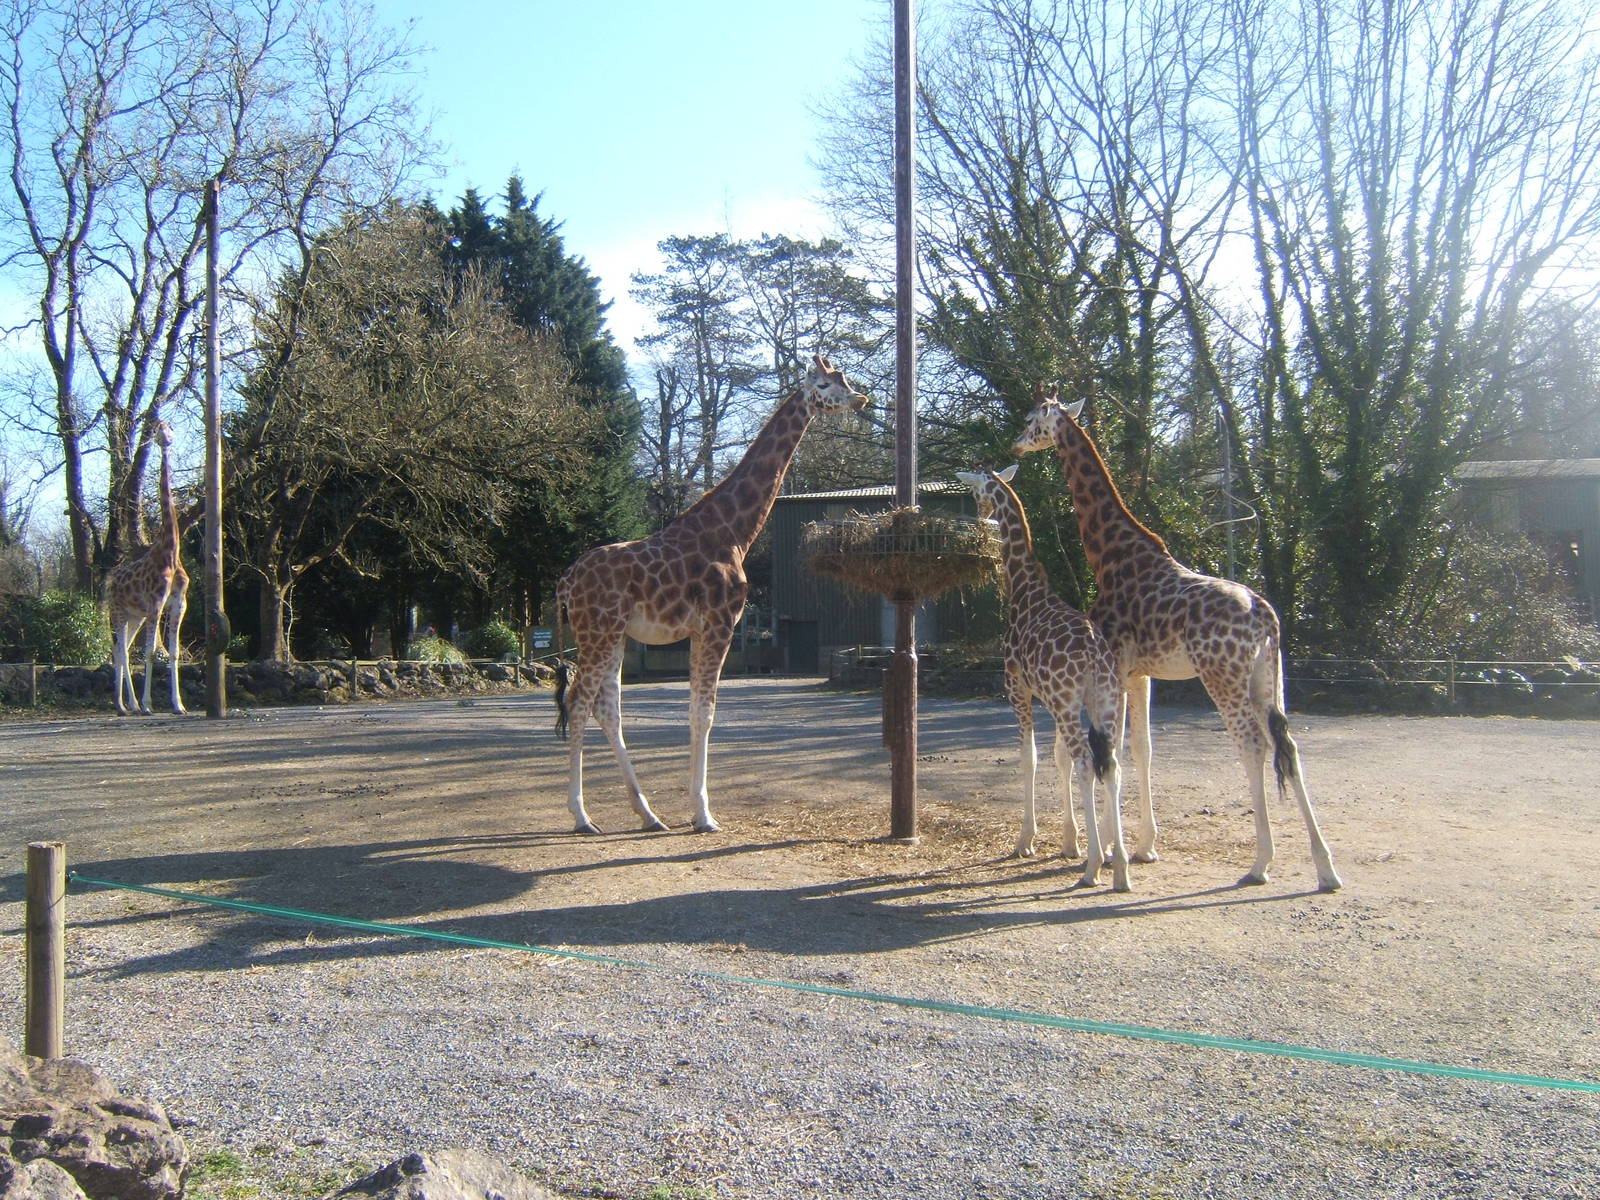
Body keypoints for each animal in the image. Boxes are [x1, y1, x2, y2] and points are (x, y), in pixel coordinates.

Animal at [105, 421, 190, 717]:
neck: (170, 551)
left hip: (135, 617)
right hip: (118, 612)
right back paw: (125, 705)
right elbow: (151, 652)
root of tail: (110, 582)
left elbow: (173, 653)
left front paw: (178, 705)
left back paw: (125, 705)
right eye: (157, 429)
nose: (166, 439)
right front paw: (148, 705)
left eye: (171, 427)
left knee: (120, 651)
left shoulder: (178, 602)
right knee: (121, 651)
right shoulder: (156, 603)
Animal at [553, 354, 870, 835]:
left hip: (614, 635)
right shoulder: (721, 622)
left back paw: (648, 815)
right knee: (578, 702)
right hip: (598, 632)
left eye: (844, 378)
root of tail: (566, 582)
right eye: (822, 383)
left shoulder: (702, 629)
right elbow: (706, 712)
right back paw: (582, 816)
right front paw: (704, 813)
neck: (735, 532)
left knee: (606, 709)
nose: (859, 398)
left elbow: (694, 710)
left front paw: (694, 808)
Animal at [957, 465, 1130, 890]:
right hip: (1104, 702)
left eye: (975, 491)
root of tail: (1094, 655)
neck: (1023, 588)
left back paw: (1094, 867)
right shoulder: (1049, 699)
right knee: (1111, 765)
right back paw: (1120, 867)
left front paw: (1026, 840)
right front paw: (1070, 842)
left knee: (1088, 762)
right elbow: (1058, 759)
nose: (980, 515)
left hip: (1070, 704)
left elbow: (1030, 758)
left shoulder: (1018, 688)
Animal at [1013, 389, 1342, 892]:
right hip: (1269, 677)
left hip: (1221, 676)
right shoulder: (1141, 674)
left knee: (1252, 743)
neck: (1110, 556)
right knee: (1287, 744)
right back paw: (1325, 867)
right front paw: (1143, 847)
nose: (1015, 445)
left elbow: (1113, 752)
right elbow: (1143, 750)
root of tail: (1265, 616)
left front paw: (1110, 851)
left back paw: (1260, 864)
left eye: (1033, 421)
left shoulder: (1119, 667)